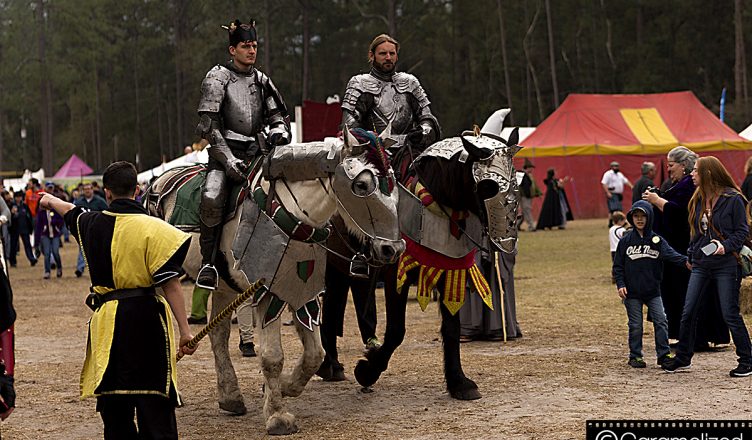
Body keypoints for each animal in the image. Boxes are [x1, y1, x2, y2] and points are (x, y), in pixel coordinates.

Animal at [148, 129, 406, 434]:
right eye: (362, 185)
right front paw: (277, 416)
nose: (393, 249)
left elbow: (314, 354)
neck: (294, 213)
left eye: (394, 186)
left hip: (226, 285)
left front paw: (282, 389)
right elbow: (272, 357)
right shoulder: (267, 292)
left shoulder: (303, 291)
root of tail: (157, 183)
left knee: (218, 333)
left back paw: (230, 397)